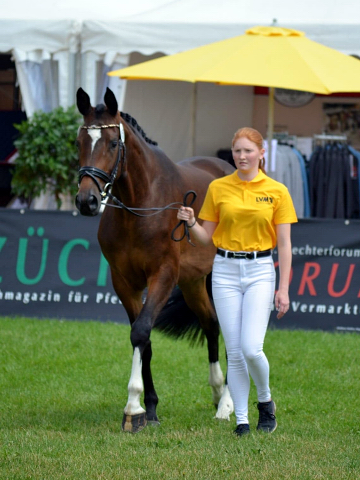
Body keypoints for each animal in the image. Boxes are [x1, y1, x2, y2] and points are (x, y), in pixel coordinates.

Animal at [74, 88, 235, 434]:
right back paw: (218, 392)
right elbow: (142, 339)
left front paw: (133, 407)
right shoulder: (124, 282)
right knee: (211, 323)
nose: (86, 201)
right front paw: (149, 409)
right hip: (193, 282)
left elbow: (141, 331)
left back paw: (228, 403)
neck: (141, 204)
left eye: (112, 143)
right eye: (79, 141)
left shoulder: (162, 275)